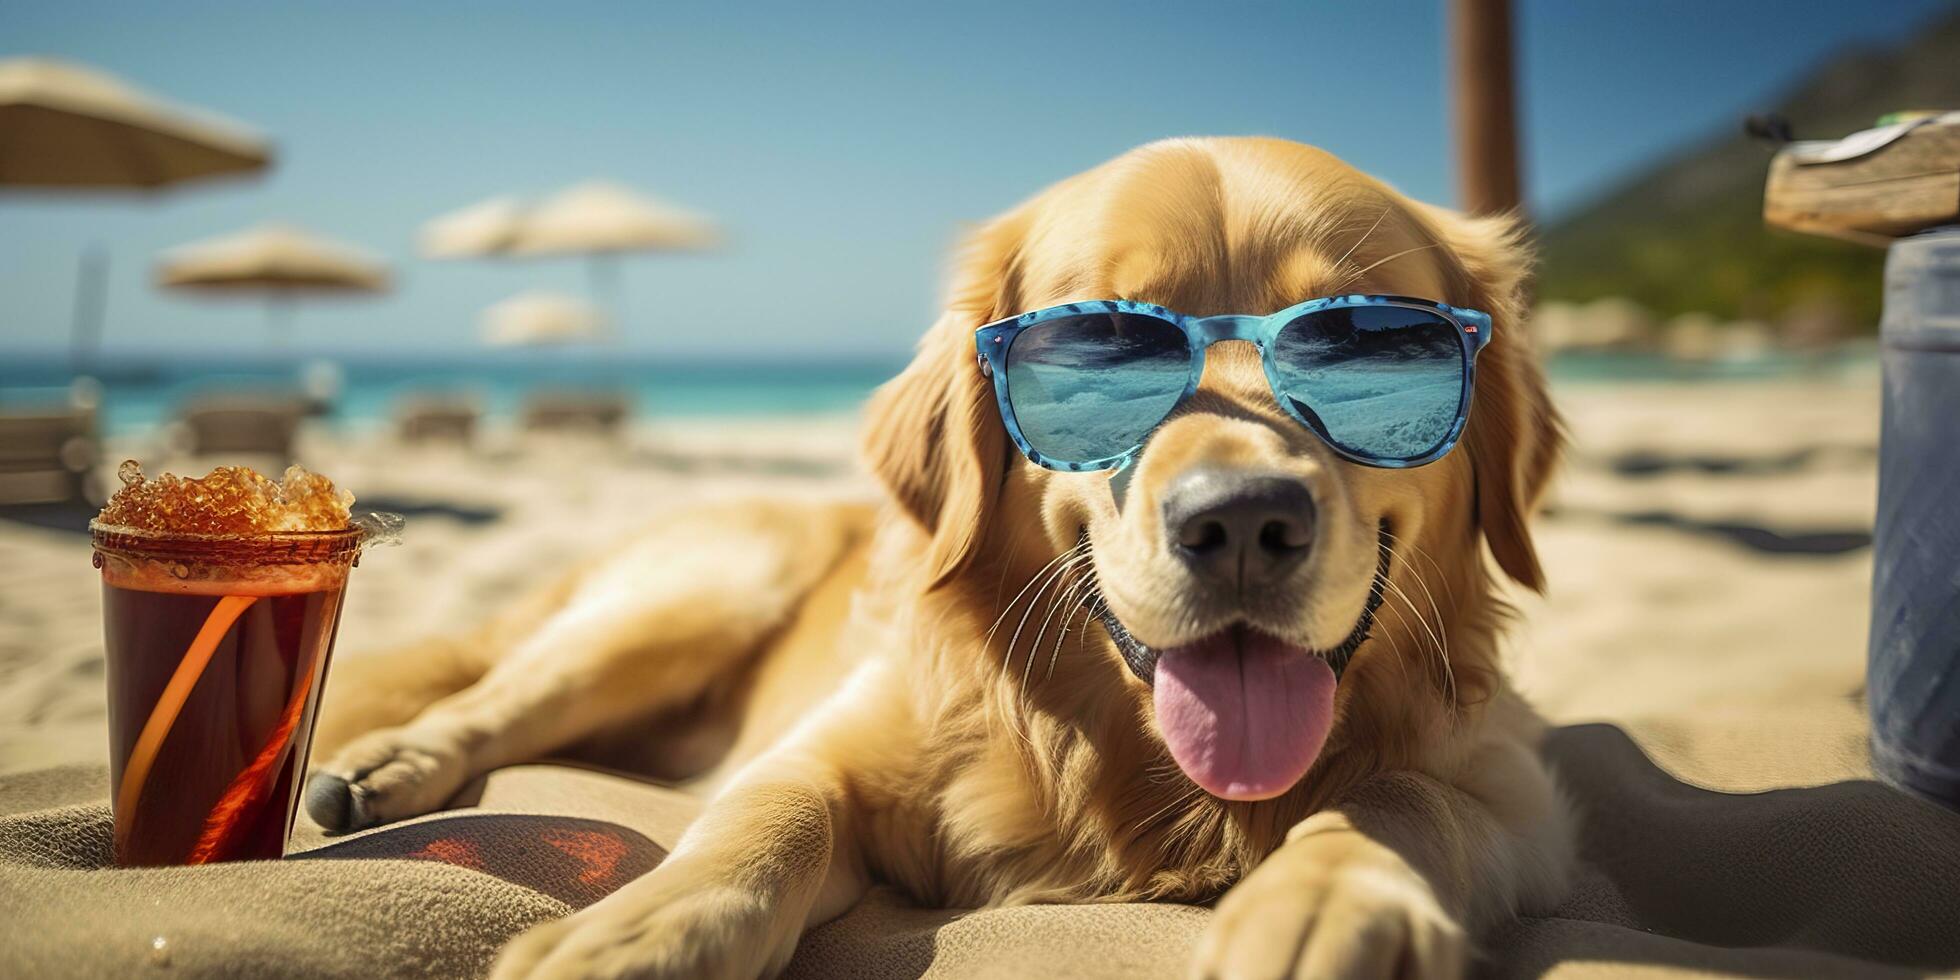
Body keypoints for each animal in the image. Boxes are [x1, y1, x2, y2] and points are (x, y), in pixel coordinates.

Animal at [305, 138, 1568, 980]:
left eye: (1364, 343)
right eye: (1100, 343)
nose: (1244, 519)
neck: (1119, 750)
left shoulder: (1509, 778)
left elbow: (1403, 795)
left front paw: (1331, 901)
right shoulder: (835, 745)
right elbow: (764, 819)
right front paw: (641, 927)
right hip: (693, 595)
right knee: (488, 698)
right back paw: (378, 767)